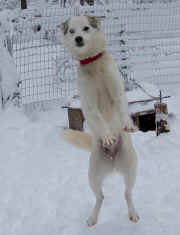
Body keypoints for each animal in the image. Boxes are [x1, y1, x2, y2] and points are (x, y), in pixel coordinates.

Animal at [59, 14, 139, 226]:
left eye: (86, 28)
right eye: (72, 31)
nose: (78, 38)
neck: (92, 64)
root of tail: (112, 162)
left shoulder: (118, 93)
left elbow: (122, 110)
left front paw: (127, 124)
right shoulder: (89, 105)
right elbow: (99, 121)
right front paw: (108, 136)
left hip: (131, 170)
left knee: (127, 193)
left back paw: (133, 213)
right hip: (93, 176)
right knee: (100, 197)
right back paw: (93, 218)